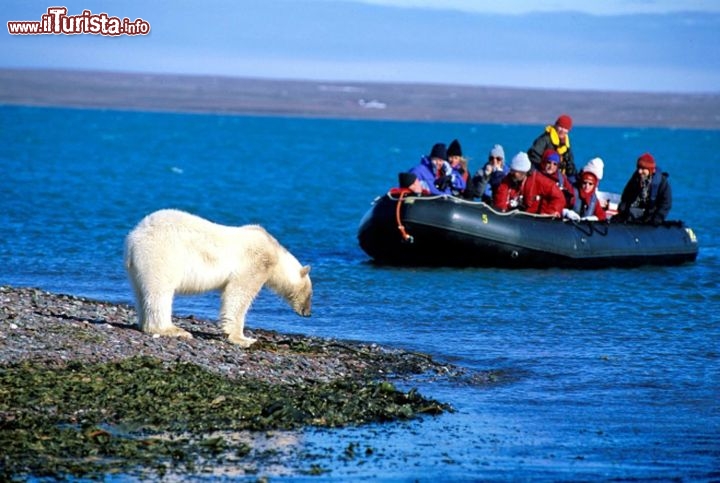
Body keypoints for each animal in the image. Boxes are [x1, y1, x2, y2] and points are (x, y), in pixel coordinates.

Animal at [123, 209, 312, 348]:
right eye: (310, 293)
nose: (308, 313)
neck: (276, 252)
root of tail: (134, 238)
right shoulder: (255, 263)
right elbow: (238, 295)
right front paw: (243, 338)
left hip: (137, 267)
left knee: (140, 292)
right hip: (162, 253)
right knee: (160, 291)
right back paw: (172, 329)